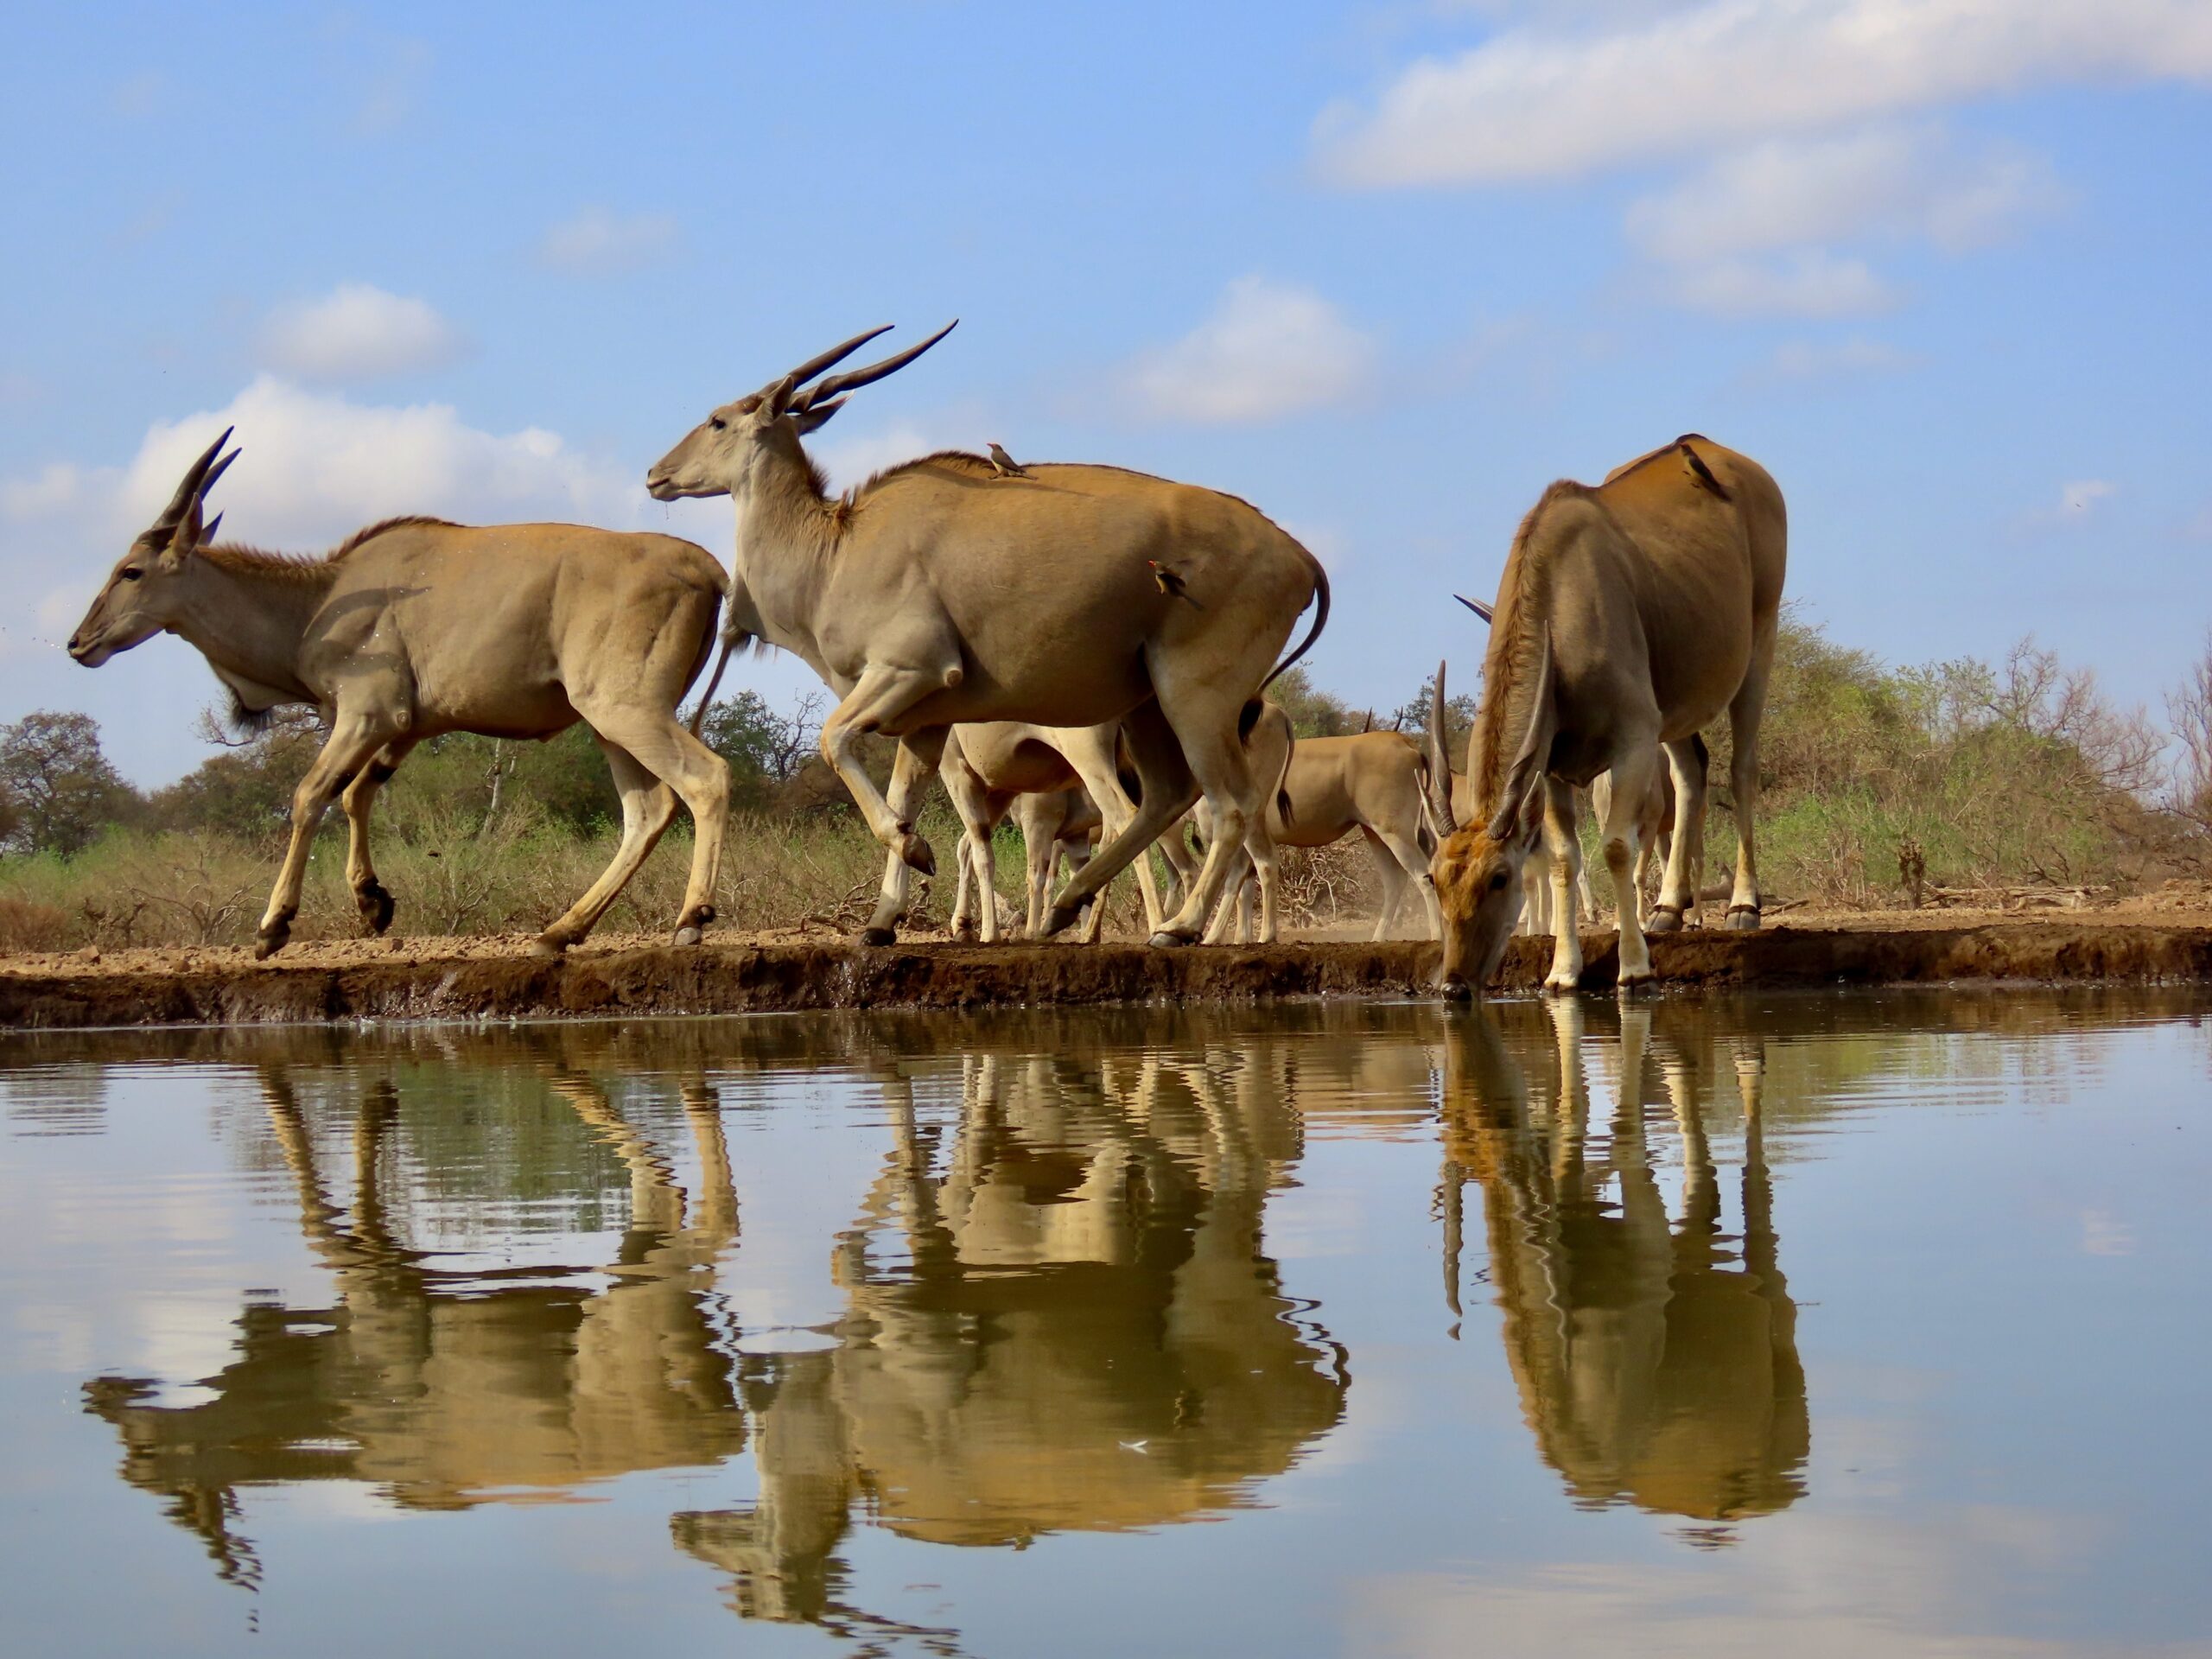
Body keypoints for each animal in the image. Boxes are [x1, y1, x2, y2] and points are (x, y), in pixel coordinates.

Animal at [66, 430, 735, 959]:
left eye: (131, 571)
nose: (79, 643)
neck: (316, 602)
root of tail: (708, 569)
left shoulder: (367, 715)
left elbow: (311, 796)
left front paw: (274, 925)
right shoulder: (407, 727)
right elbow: (358, 793)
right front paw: (373, 902)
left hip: (624, 711)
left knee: (704, 780)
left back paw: (691, 919)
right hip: (606, 724)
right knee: (647, 811)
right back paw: (561, 931)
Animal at [644, 323, 1329, 948]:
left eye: (717, 421)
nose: (655, 474)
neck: (835, 550)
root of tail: (1301, 557)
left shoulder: (910, 671)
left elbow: (836, 743)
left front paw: (916, 853)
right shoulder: (924, 721)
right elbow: (906, 795)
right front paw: (882, 921)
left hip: (1194, 696)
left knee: (1227, 807)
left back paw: (1178, 928)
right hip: (1148, 706)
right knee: (1167, 798)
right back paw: (1068, 908)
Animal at [1427, 436, 1786, 998]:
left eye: (1498, 878)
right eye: (1435, 878)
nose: (1454, 986)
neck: (1560, 599)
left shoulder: (1633, 741)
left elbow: (1617, 848)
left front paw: (1635, 968)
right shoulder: (1551, 766)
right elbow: (1563, 859)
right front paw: (1562, 971)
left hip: (1759, 645)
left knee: (1742, 770)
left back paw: (1743, 906)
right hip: (1674, 710)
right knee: (1691, 775)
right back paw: (1668, 909)